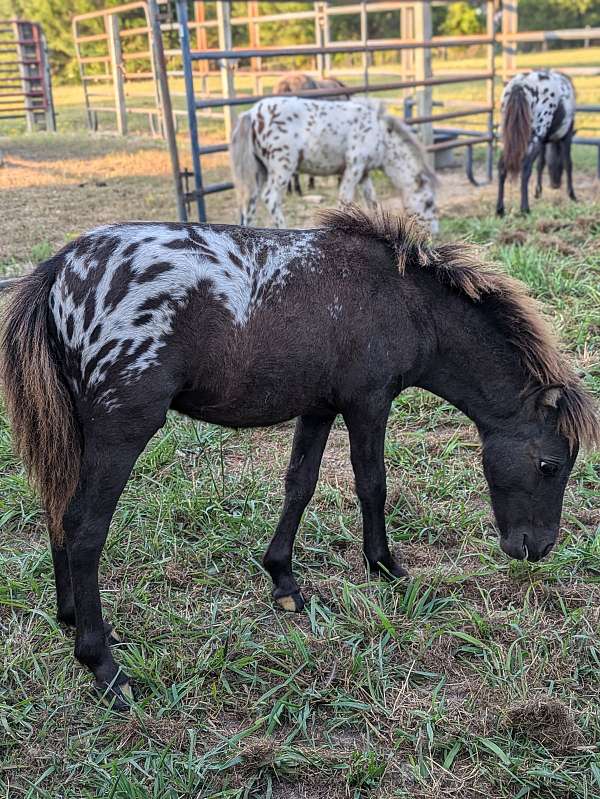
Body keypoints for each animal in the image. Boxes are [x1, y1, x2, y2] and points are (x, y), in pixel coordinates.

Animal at [1, 203, 600, 708]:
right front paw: (385, 567)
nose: (536, 549)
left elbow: (300, 484)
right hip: (120, 432)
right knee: (84, 527)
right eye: (549, 465)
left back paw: (73, 617)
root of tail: (60, 269)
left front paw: (283, 580)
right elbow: (371, 483)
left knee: (58, 511)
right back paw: (102, 664)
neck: (405, 300)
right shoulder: (368, 403)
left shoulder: (318, 408)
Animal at [229, 95, 436, 231]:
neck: (379, 134)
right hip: (282, 167)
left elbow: (372, 201)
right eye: (428, 202)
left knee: (250, 205)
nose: (433, 233)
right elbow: (345, 200)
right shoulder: (354, 168)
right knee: (270, 198)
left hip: (260, 171)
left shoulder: (364, 173)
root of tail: (251, 114)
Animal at [496, 68, 576, 216]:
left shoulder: (543, 142)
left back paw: (500, 210)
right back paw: (525, 209)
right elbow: (568, 163)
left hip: (508, 140)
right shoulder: (566, 136)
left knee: (502, 167)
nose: (555, 184)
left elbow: (541, 163)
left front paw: (538, 192)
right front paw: (572, 195)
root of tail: (519, 86)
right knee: (525, 168)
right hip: (535, 138)